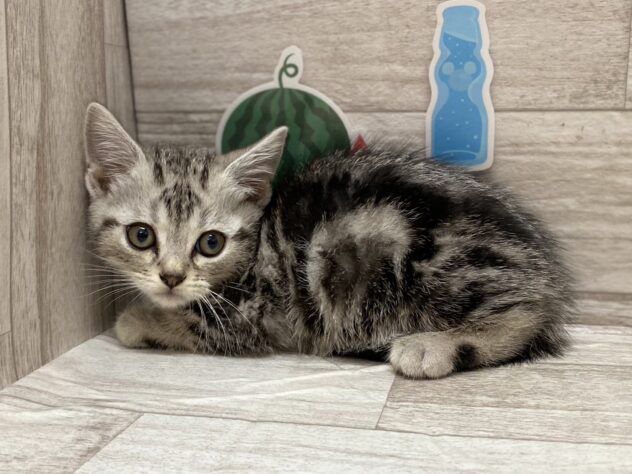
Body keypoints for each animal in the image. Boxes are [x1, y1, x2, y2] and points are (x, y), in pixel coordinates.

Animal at [85, 103, 572, 379]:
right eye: (141, 235)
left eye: (210, 244)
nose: (171, 277)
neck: (259, 245)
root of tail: (543, 271)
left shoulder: (250, 320)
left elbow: (183, 324)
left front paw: (135, 320)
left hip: (440, 266)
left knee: (523, 316)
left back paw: (430, 347)